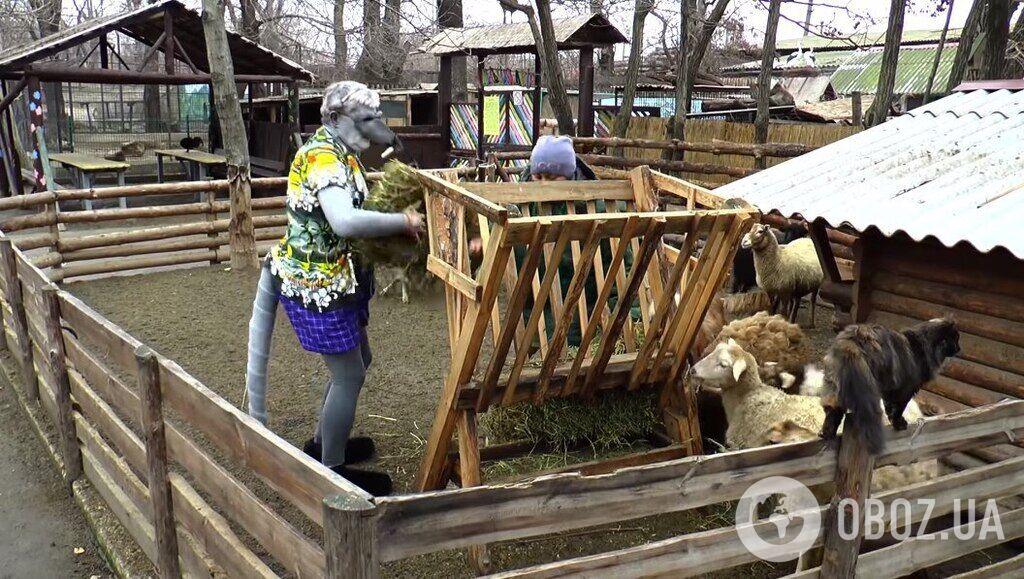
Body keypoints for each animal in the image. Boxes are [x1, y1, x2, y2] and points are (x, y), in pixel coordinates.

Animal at [815, 317, 958, 452]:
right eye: (956, 339)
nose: (959, 348)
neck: (925, 346)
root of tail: (854, 340)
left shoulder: (890, 391)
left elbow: (890, 407)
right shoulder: (905, 390)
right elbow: (898, 409)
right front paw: (899, 424)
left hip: (834, 387)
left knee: (833, 411)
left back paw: (826, 434)